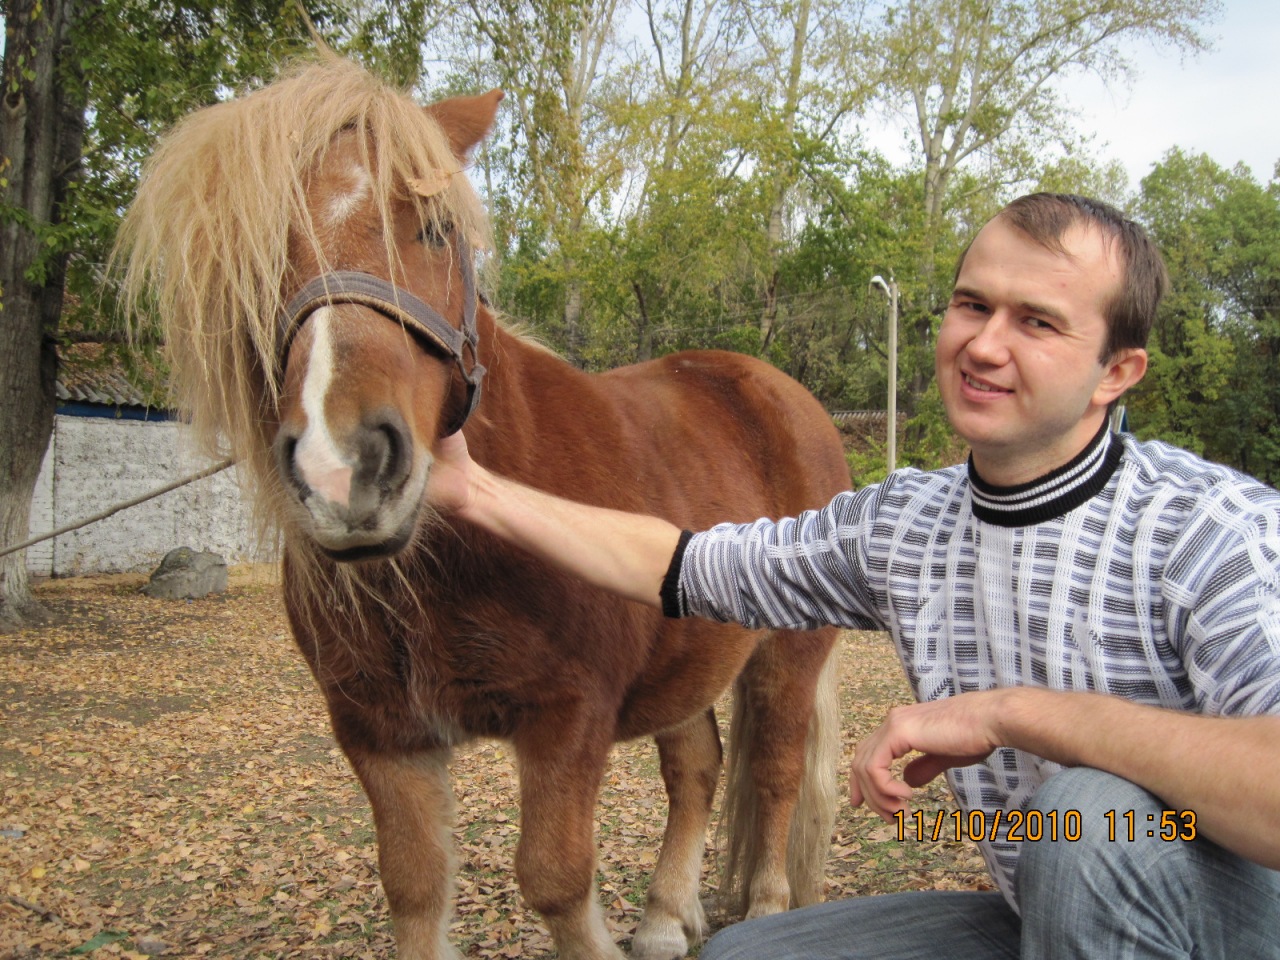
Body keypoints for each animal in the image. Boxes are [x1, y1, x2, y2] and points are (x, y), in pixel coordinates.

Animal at [116, 55, 850, 960]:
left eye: (434, 229)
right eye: (250, 264)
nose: (342, 467)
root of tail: (779, 392)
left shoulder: (567, 720)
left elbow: (556, 881)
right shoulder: (382, 737)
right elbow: (417, 885)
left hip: (789, 654)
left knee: (776, 772)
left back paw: (771, 908)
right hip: (687, 655)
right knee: (696, 767)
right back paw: (665, 918)